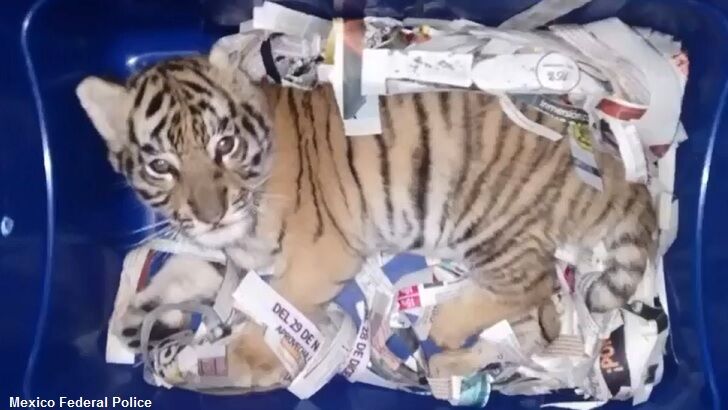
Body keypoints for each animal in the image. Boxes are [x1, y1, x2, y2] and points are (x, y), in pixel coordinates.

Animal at [76, 52, 656, 390]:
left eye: (225, 145)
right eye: (161, 165)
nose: (211, 213)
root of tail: (616, 169)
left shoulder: (316, 256)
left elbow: (276, 315)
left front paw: (237, 358)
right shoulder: (234, 257)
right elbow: (180, 275)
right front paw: (138, 321)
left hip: (487, 220)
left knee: (529, 282)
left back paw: (443, 329)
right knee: (538, 326)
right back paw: (449, 370)